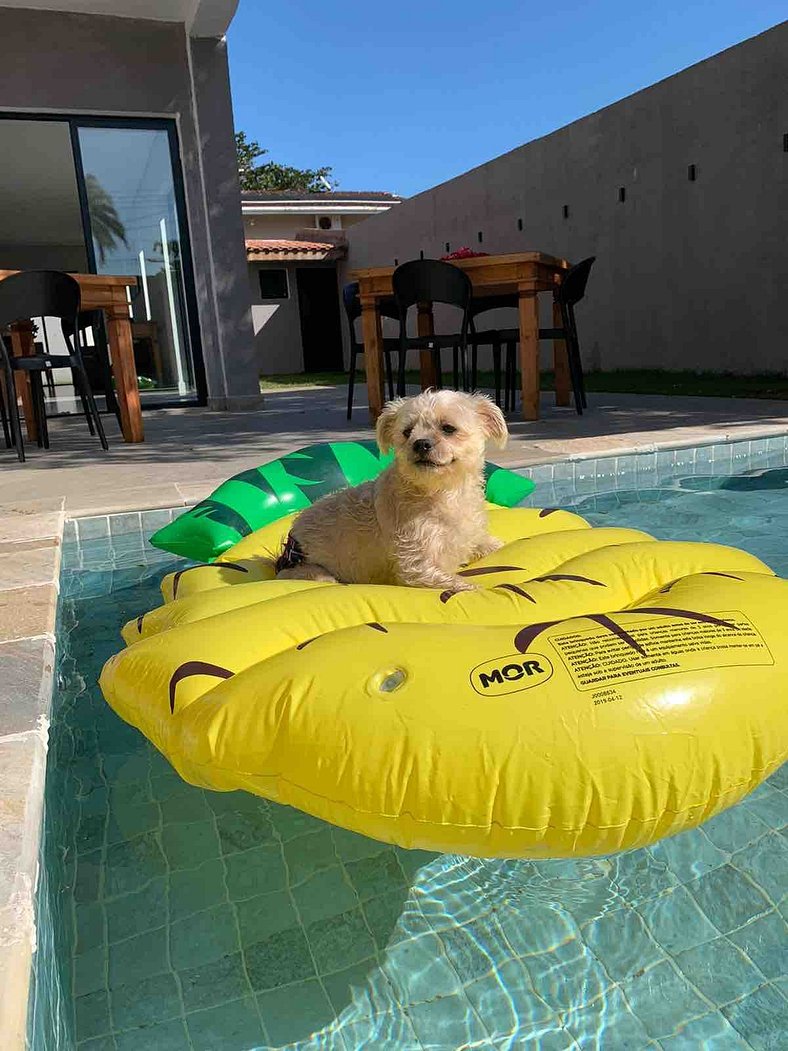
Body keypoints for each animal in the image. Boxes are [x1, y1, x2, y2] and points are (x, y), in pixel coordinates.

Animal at [277, 393, 508, 592]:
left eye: (448, 428)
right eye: (407, 432)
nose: (420, 443)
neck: (442, 491)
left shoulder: (467, 534)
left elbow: (487, 543)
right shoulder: (416, 567)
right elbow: (462, 584)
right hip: (311, 573)